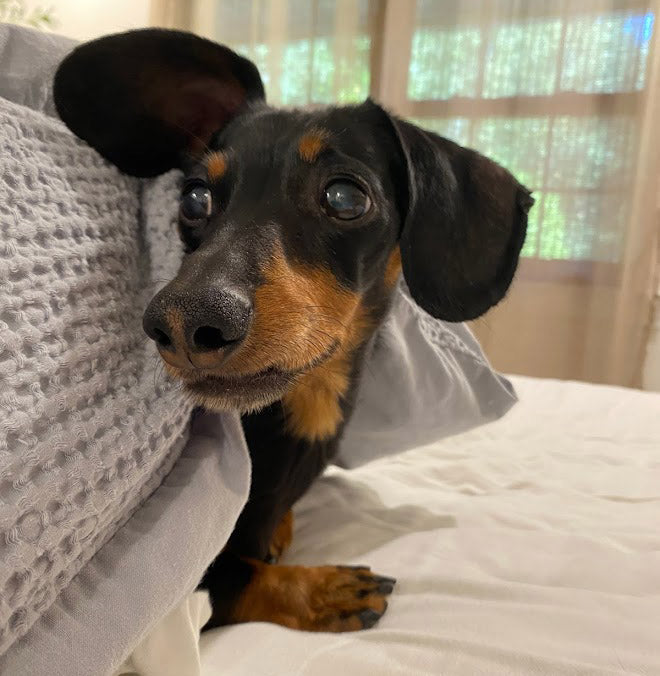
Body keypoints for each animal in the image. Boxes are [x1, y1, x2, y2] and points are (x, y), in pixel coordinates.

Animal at [54, 29, 532, 632]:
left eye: (346, 197)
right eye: (194, 198)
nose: (184, 322)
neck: (306, 408)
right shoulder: (189, 589)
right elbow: (237, 576)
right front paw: (321, 588)